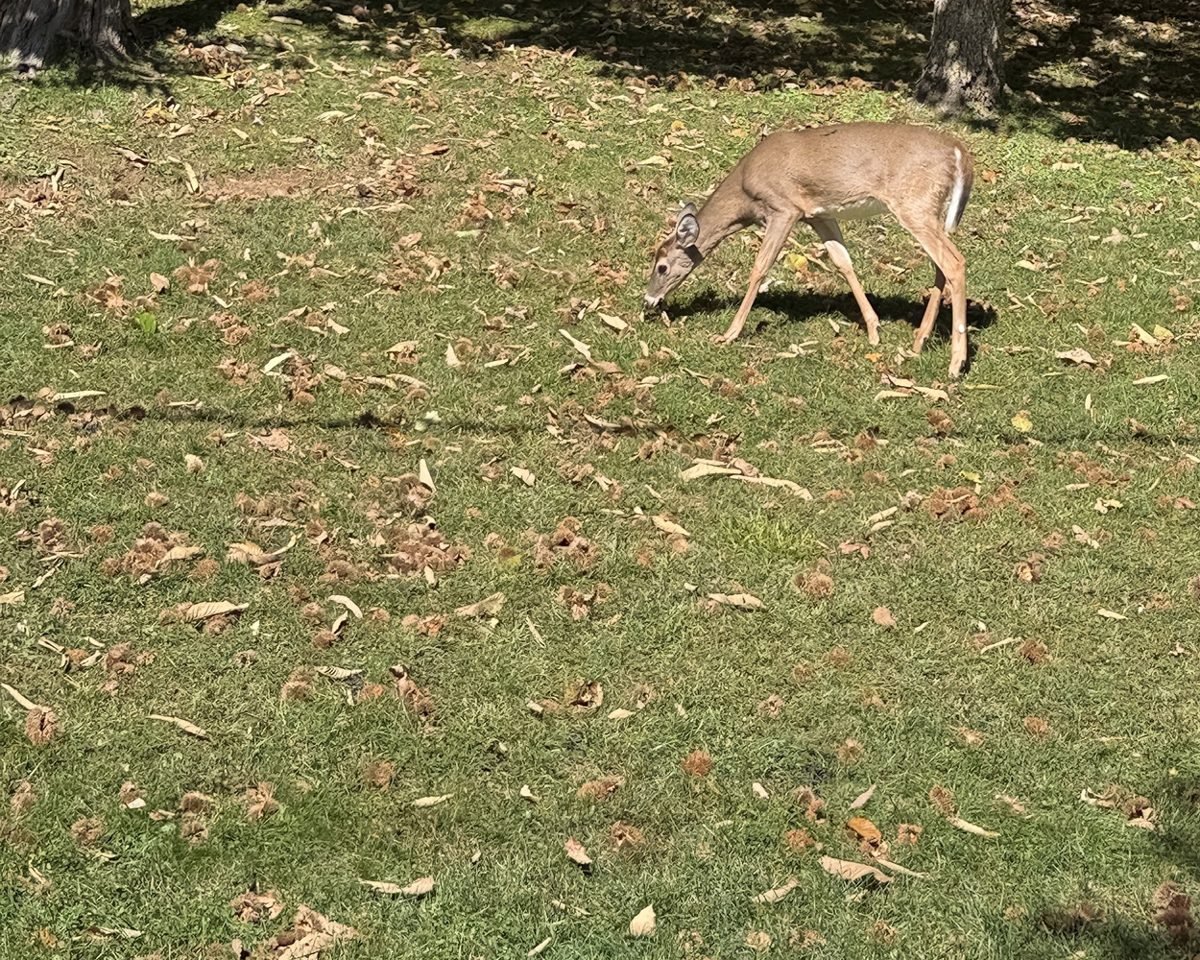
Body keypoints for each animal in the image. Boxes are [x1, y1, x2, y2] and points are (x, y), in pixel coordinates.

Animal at [643, 122, 975, 377]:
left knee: (955, 262)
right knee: (940, 266)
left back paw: (956, 363)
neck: (745, 195)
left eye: (662, 266)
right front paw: (873, 329)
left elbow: (760, 267)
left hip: (914, 202)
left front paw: (729, 334)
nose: (649, 301)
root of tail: (959, 153)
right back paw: (919, 342)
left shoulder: (783, 208)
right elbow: (843, 261)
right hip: (927, 208)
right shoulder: (818, 214)